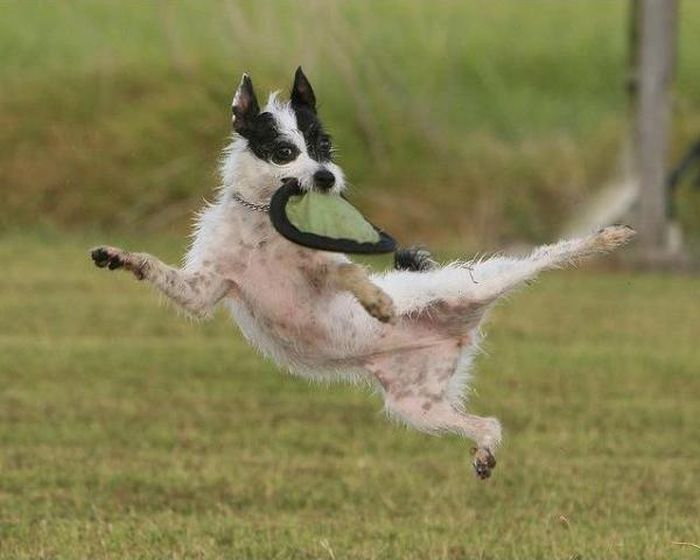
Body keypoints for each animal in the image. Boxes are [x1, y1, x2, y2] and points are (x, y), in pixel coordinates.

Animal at [89, 68, 636, 480]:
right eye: (284, 150)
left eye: (324, 144)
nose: (327, 177)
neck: (260, 224)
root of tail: (459, 332)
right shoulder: (204, 289)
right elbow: (162, 273)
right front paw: (120, 256)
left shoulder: (320, 265)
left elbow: (346, 273)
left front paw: (376, 301)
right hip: (419, 408)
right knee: (490, 423)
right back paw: (482, 452)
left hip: (479, 284)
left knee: (549, 254)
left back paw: (605, 237)